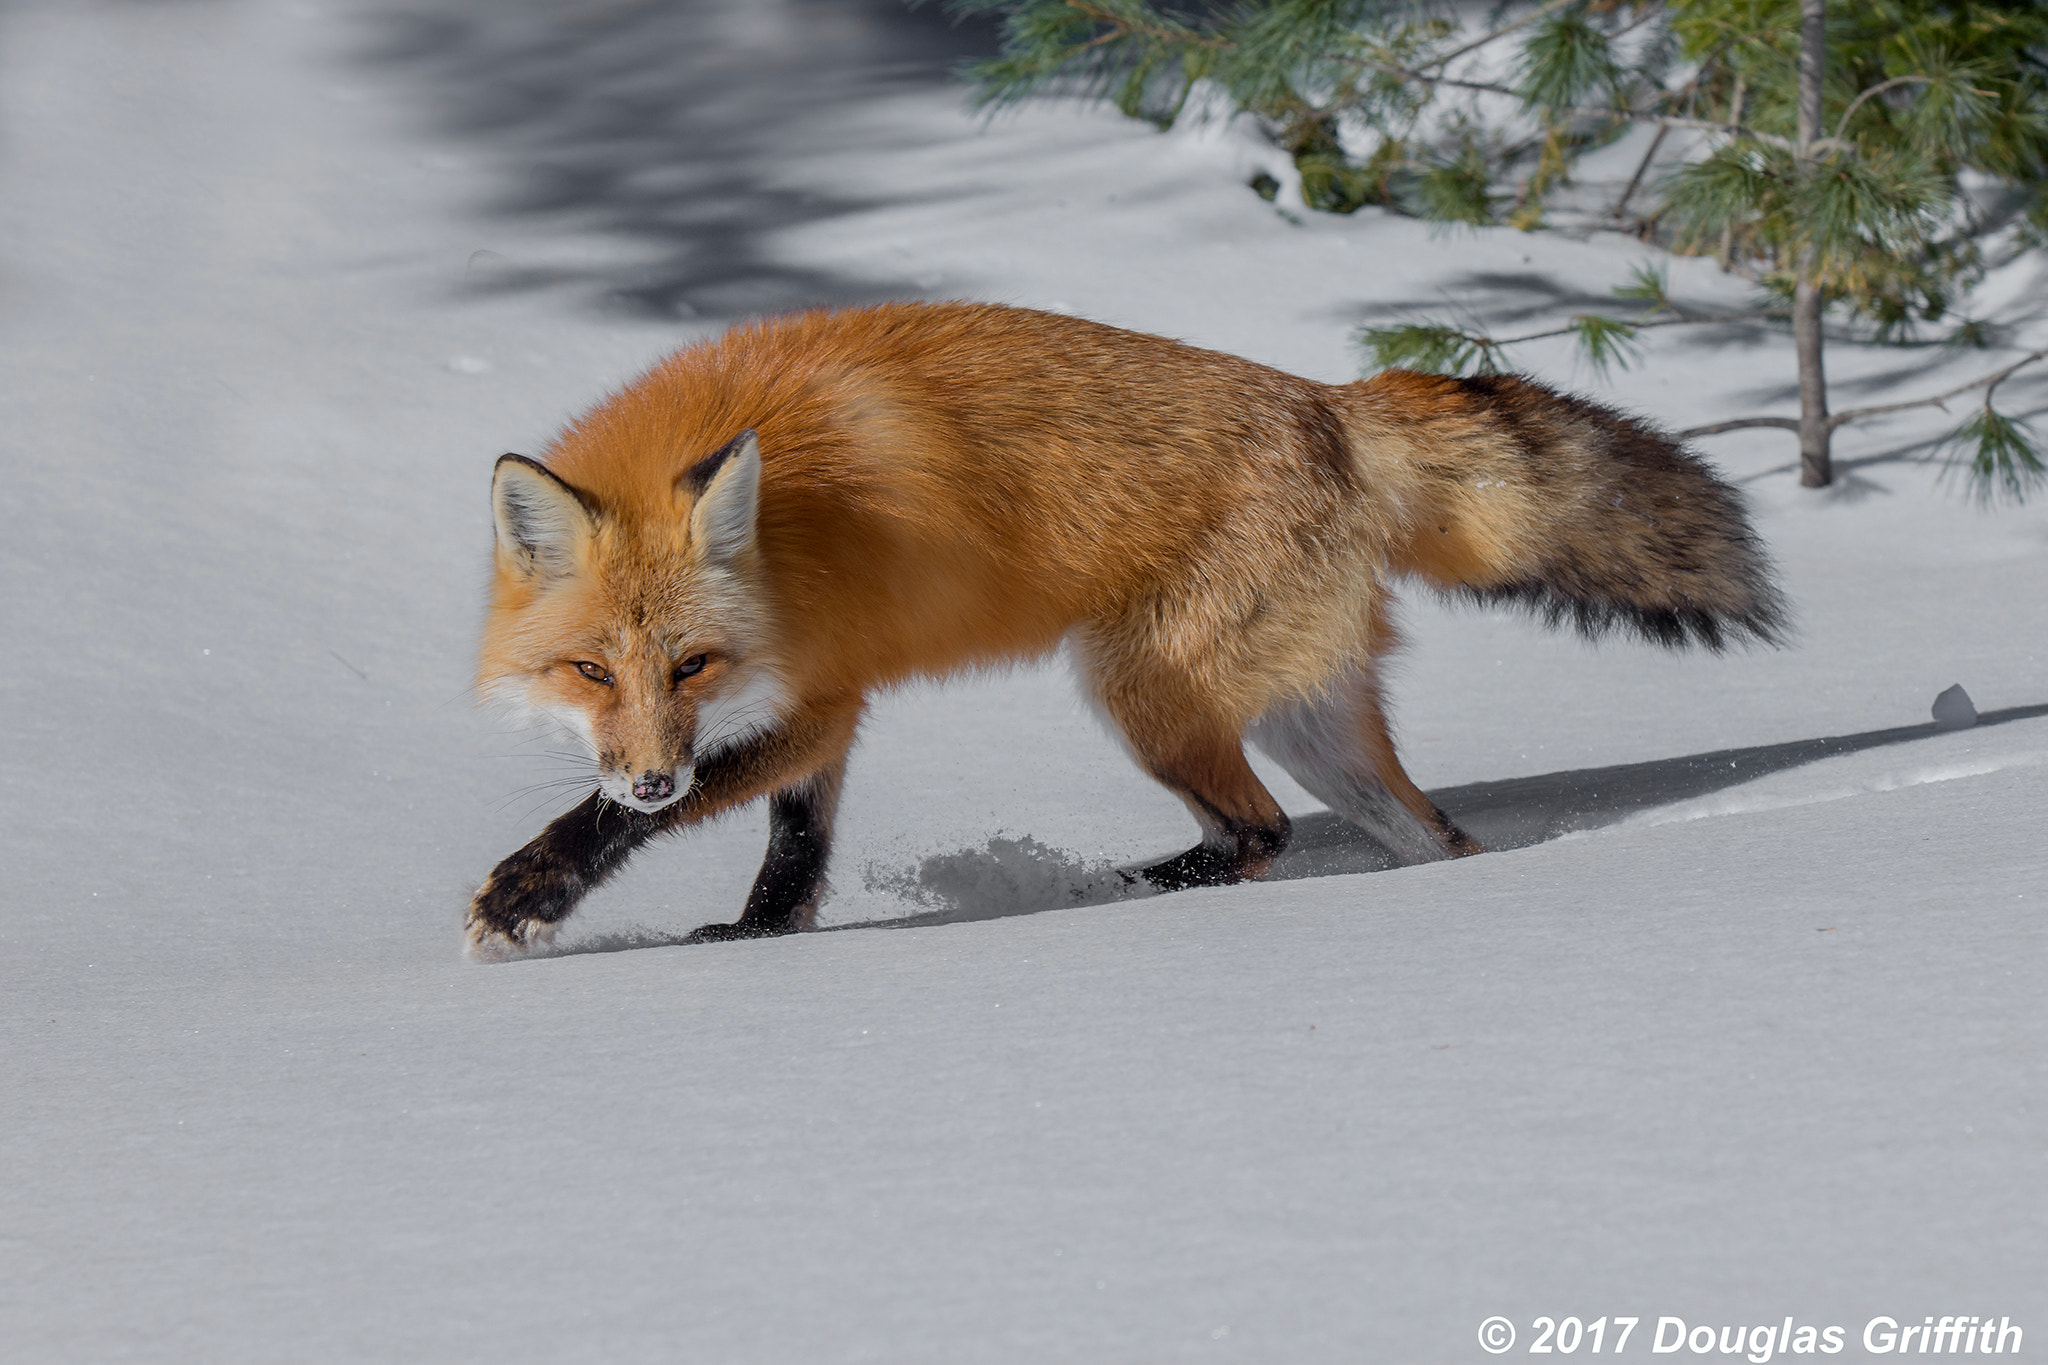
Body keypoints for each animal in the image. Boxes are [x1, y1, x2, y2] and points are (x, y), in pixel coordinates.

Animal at [466, 301, 1784, 959]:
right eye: (591, 670)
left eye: (690, 663)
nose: (646, 776)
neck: (791, 540)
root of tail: (1330, 404)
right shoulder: (815, 707)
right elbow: (796, 848)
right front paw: (756, 938)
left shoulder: (815, 698)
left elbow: (648, 817)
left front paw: (529, 894)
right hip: (1307, 725)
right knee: (1423, 840)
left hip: (1137, 688)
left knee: (1257, 834)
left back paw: (1118, 885)